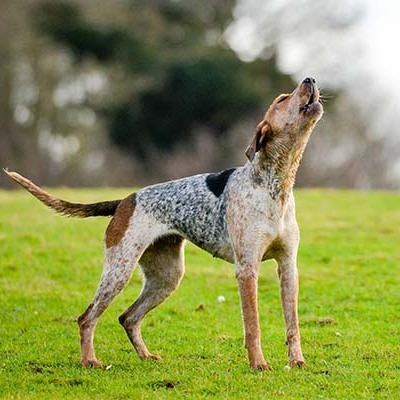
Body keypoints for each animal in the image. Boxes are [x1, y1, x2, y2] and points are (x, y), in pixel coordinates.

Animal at [3, 76, 322, 370]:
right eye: (282, 99)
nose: (310, 79)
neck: (275, 185)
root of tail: (124, 201)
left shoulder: (288, 267)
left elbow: (292, 325)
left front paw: (297, 361)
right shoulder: (247, 269)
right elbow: (252, 326)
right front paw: (258, 364)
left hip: (166, 276)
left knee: (128, 317)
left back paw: (145, 356)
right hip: (119, 271)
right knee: (87, 318)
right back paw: (89, 360)